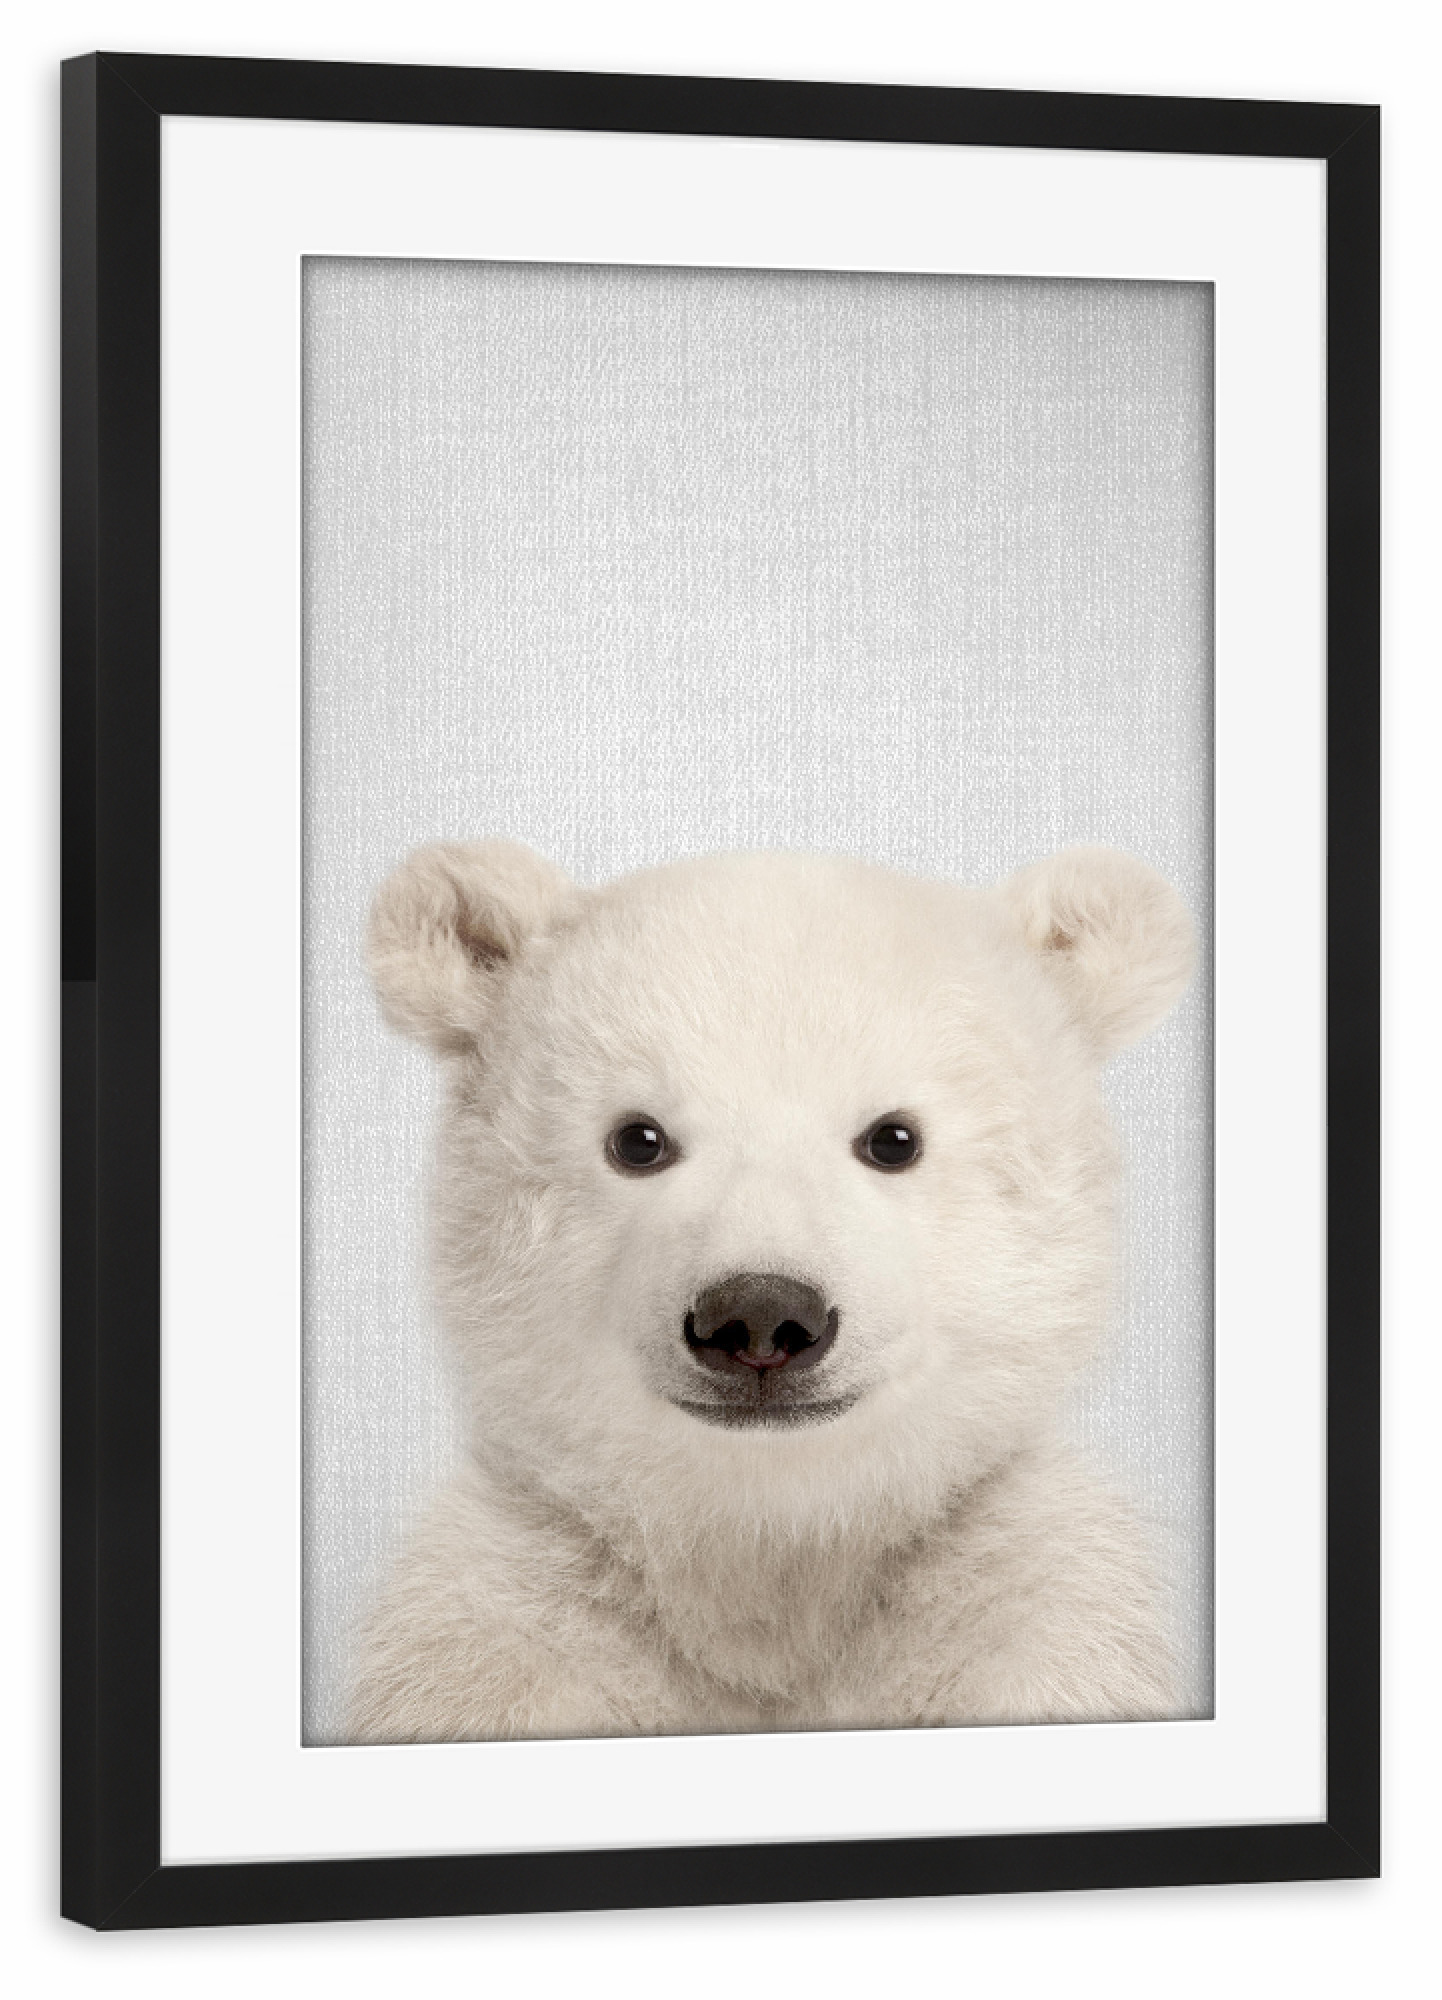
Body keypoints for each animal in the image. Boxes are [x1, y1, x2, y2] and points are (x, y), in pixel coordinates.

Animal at [346, 841, 1196, 1743]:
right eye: (637, 1139)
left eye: (895, 1138)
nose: (759, 1315)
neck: (772, 1554)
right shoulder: (507, 1625)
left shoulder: (1025, 1604)